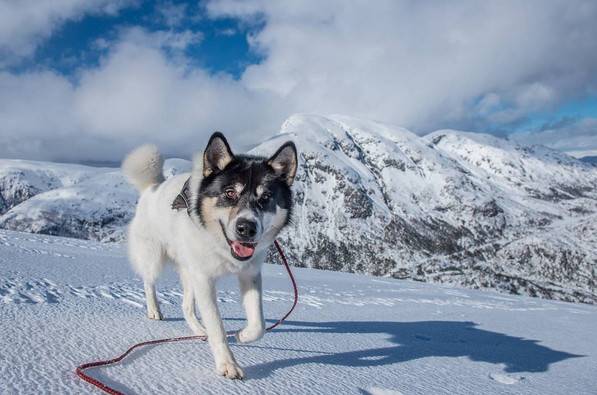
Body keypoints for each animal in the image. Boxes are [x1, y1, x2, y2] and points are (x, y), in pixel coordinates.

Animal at [121, 134, 298, 380]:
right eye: (230, 193)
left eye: (266, 197)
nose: (247, 228)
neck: (219, 243)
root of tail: (152, 188)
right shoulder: (204, 279)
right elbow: (217, 326)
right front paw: (228, 363)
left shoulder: (250, 274)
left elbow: (259, 324)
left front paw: (243, 335)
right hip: (154, 258)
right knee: (149, 283)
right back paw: (154, 310)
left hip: (189, 271)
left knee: (186, 306)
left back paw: (198, 330)